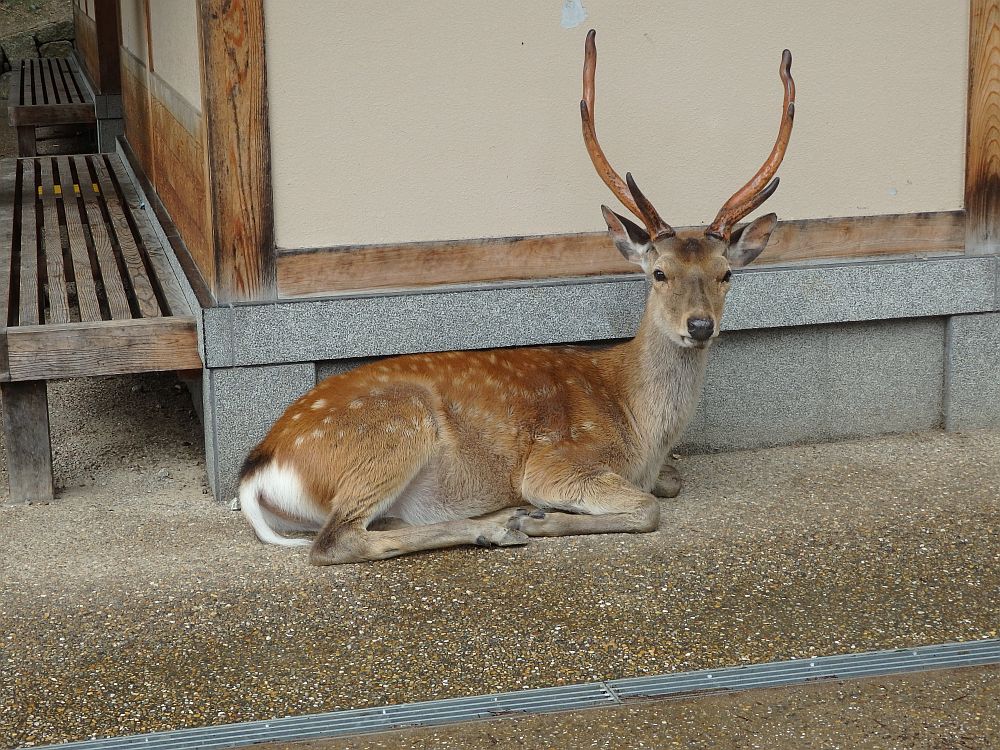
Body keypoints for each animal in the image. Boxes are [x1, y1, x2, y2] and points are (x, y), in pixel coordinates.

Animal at [236, 32, 796, 568]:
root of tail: (256, 473)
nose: (699, 325)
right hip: (392, 430)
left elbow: (670, 485)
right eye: (659, 273)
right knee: (336, 541)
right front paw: (544, 519)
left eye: (726, 274)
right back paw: (500, 524)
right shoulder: (555, 462)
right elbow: (647, 507)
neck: (639, 429)